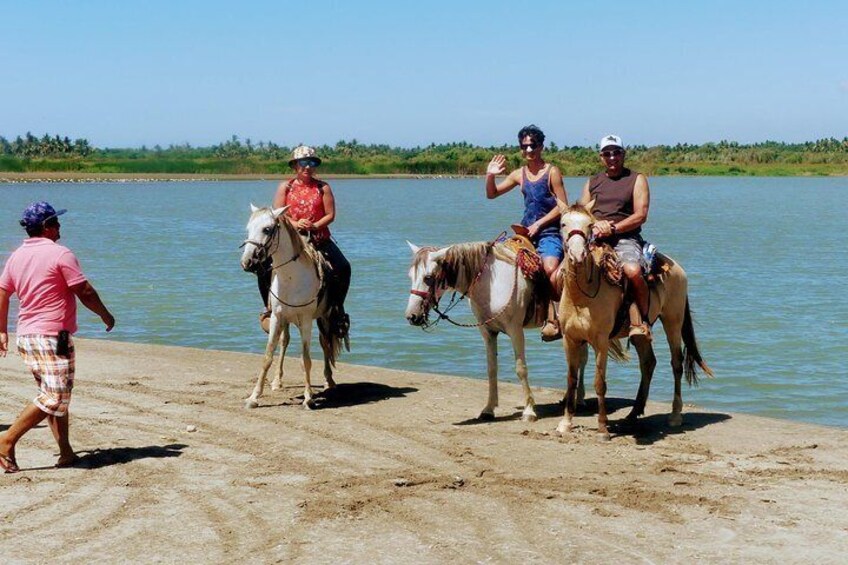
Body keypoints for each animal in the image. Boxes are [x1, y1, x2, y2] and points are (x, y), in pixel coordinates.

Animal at [238, 205, 344, 408]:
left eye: (267, 229)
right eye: (248, 228)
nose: (247, 262)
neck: (291, 277)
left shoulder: (306, 320)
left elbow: (306, 359)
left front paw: (309, 397)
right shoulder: (277, 317)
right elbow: (268, 356)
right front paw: (254, 397)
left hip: (324, 317)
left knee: (325, 343)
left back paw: (329, 381)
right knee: (285, 341)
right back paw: (277, 382)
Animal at [408, 240, 552, 420]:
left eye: (427, 278)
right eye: (410, 276)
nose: (412, 316)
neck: (493, 285)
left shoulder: (516, 330)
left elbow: (521, 369)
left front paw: (528, 411)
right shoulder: (488, 332)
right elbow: (491, 369)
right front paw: (488, 409)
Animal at [560, 200, 712, 438]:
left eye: (589, 225)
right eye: (563, 223)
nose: (577, 254)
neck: (581, 297)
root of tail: (677, 267)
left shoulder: (601, 341)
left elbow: (599, 383)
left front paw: (602, 428)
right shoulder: (570, 339)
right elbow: (571, 380)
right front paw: (565, 424)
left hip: (673, 321)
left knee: (676, 363)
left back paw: (675, 415)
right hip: (642, 332)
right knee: (648, 362)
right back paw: (633, 414)